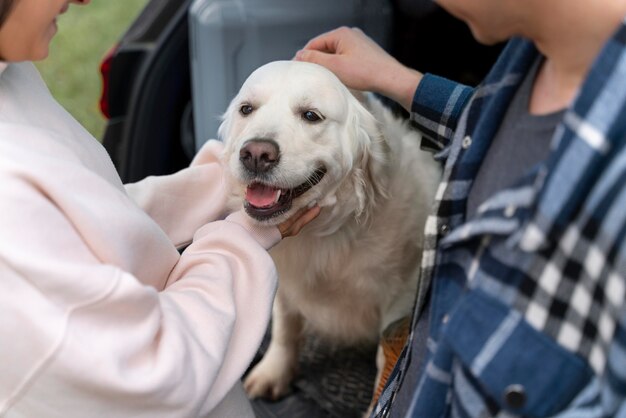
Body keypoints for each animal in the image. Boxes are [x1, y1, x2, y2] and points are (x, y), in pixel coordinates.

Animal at [217, 60, 442, 410]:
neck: (330, 231)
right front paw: (274, 371)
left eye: (311, 115)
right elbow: (285, 326)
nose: (255, 154)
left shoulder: (401, 299)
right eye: (247, 109)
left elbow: (385, 360)